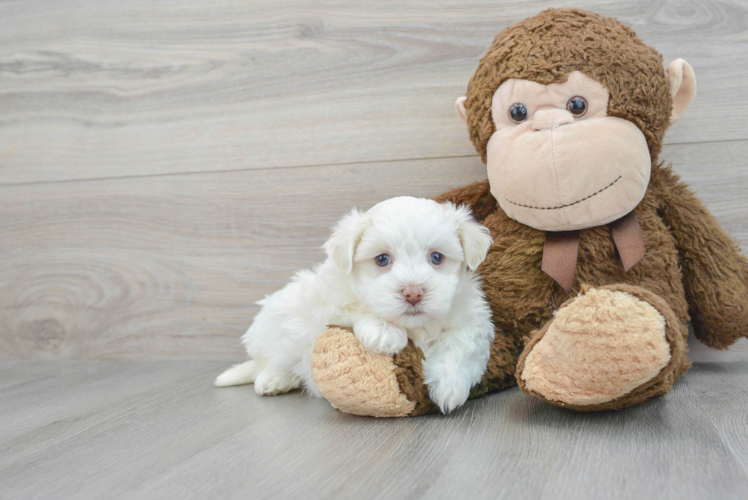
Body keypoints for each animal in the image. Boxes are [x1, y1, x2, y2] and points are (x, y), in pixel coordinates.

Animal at [215, 196, 496, 414]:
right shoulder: (328, 300)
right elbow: (355, 306)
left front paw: (450, 386)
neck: (415, 326)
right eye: (382, 259)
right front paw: (384, 331)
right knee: (268, 361)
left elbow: (461, 345)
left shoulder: (472, 319)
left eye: (437, 257)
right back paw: (272, 379)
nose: (413, 292)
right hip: (276, 322)